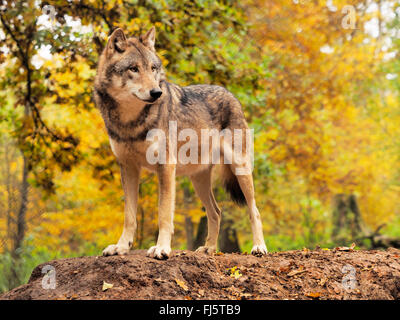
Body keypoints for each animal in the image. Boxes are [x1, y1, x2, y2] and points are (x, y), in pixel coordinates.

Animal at [94, 26, 268, 258]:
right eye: (133, 68)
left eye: (153, 68)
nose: (156, 92)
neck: (131, 121)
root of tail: (230, 94)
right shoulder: (128, 167)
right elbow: (129, 215)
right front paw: (121, 247)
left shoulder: (166, 166)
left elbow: (164, 213)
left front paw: (161, 248)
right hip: (198, 180)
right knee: (216, 212)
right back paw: (209, 249)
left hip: (240, 170)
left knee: (254, 210)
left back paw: (259, 247)